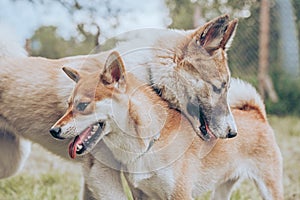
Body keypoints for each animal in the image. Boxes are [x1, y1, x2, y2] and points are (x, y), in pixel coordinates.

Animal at [51, 52, 284, 200]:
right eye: (68, 104)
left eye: (82, 105)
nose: (54, 130)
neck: (149, 141)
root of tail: (256, 114)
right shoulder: (142, 195)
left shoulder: (180, 194)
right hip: (222, 188)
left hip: (269, 187)